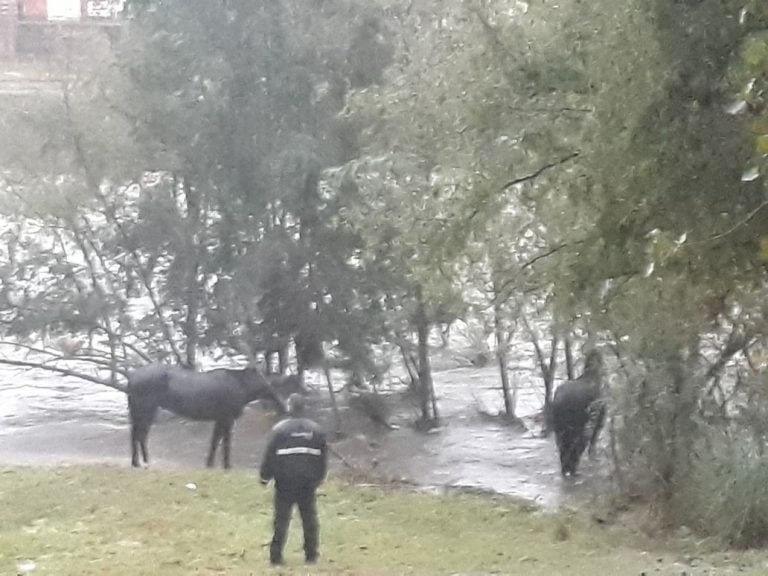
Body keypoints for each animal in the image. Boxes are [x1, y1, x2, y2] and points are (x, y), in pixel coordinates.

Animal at [127, 366, 298, 470]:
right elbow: (226, 443)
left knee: (136, 434)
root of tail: (130, 378)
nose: (284, 407)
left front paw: (209, 464)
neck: (245, 389)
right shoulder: (227, 417)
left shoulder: (220, 418)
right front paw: (227, 466)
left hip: (139, 411)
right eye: (278, 386)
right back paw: (144, 461)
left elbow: (215, 441)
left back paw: (136, 462)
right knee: (141, 435)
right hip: (146, 409)